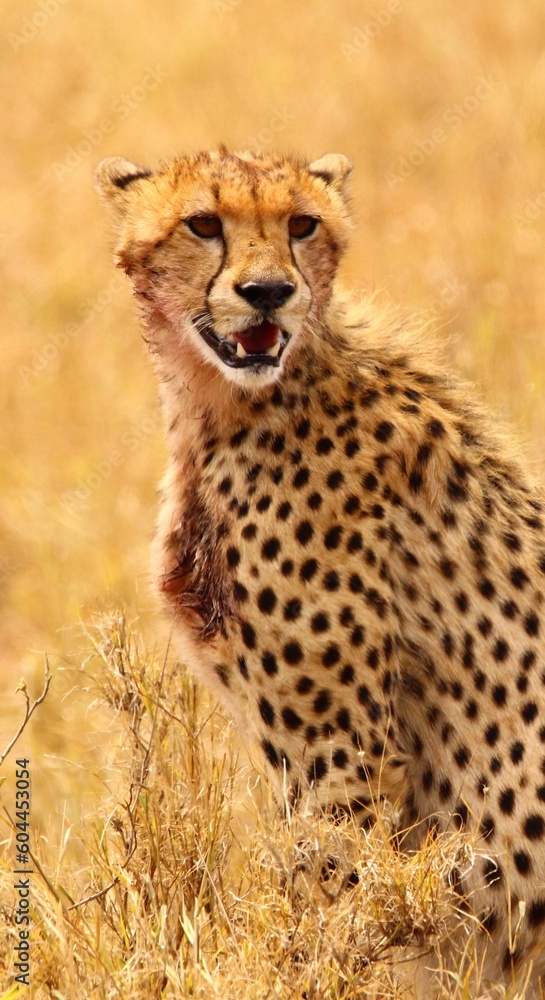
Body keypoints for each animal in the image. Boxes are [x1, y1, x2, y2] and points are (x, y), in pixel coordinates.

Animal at [97, 146, 545, 995]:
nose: (267, 291)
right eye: (202, 224)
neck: (234, 402)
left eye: (301, 225)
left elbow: (328, 902)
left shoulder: (340, 752)